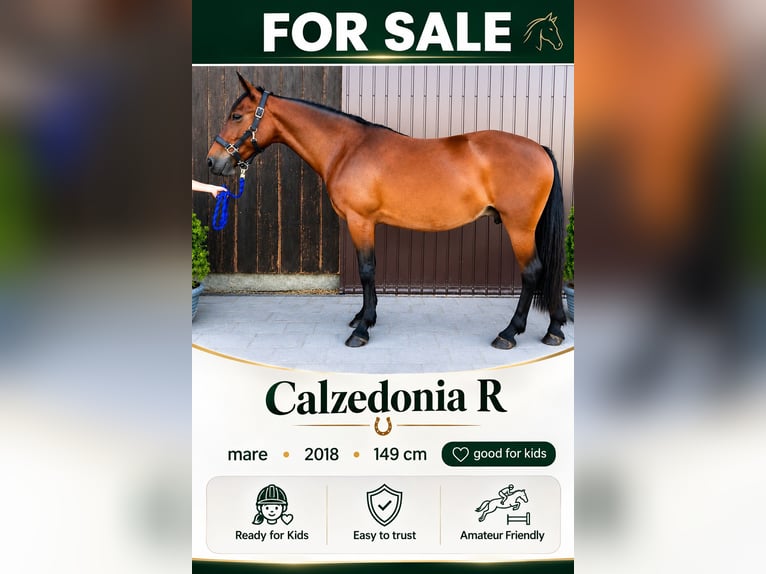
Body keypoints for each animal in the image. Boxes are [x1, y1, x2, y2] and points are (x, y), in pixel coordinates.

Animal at [207, 72, 566, 349]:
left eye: (237, 116)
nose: (213, 161)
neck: (346, 149)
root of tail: (540, 149)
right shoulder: (366, 223)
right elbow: (369, 271)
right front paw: (364, 316)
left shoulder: (360, 221)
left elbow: (367, 270)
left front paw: (362, 329)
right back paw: (554, 329)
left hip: (519, 227)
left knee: (532, 271)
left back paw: (509, 333)